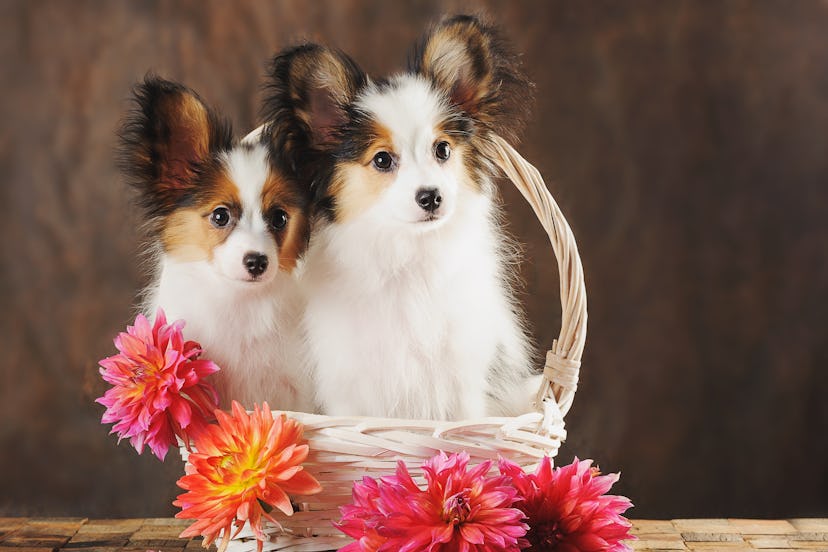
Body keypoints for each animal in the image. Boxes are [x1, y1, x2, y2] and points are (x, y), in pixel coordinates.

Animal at [262, 15, 540, 420]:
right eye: (382, 160)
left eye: (443, 150)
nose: (431, 196)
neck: (409, 254)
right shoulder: (349, 391)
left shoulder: (467, 381)